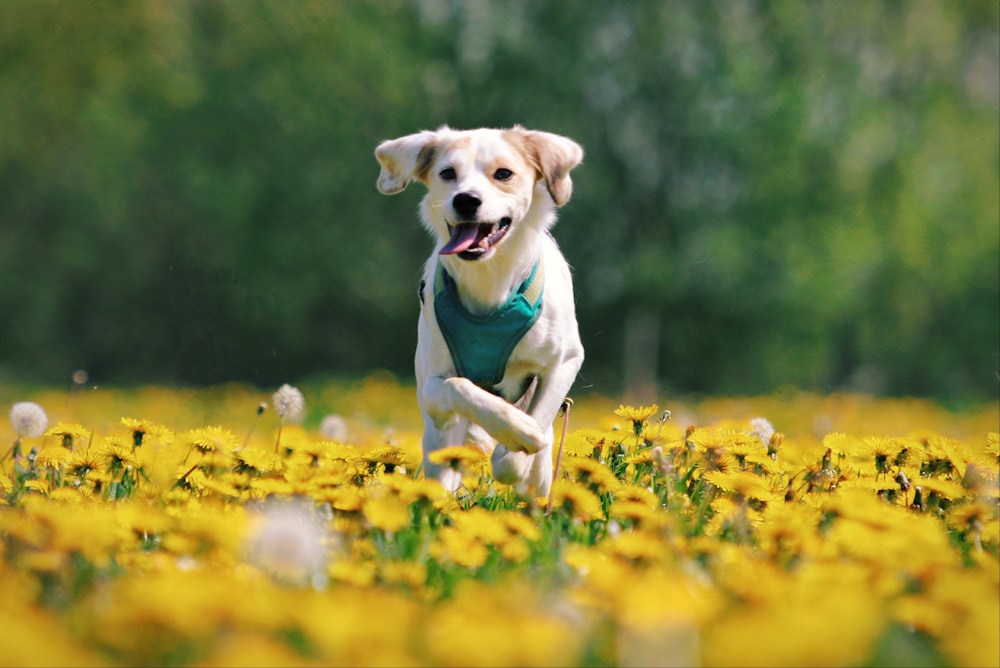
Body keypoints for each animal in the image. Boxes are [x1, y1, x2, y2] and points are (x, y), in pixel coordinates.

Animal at [378, 128, 588, 498]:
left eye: (503, 173)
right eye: (448, 173)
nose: (466, 200)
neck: (490, 281)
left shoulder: (566, 359)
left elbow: (536, 426)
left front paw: (519, 447)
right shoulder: (431, 386)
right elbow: (457, 386)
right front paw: (515, 427)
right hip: (437, 443)